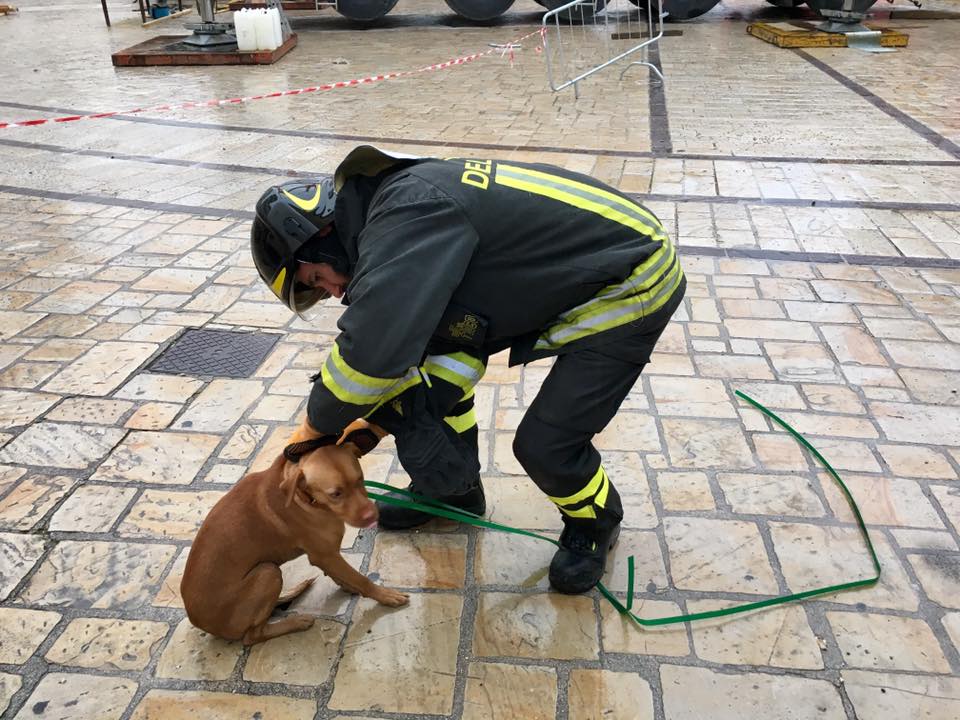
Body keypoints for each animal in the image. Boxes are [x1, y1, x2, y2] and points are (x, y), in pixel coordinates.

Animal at [181, 420, 408, 644]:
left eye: (360, 479)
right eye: (335, 494)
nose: (372, 516)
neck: (305, 497)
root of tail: (198, 620)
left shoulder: (328, 556)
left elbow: (344, 575)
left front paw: (349, 586)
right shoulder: (324, 555)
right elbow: (361, 578)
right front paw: (384, 595)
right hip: (268, 572)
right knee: (253, 636)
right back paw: (296, 622)